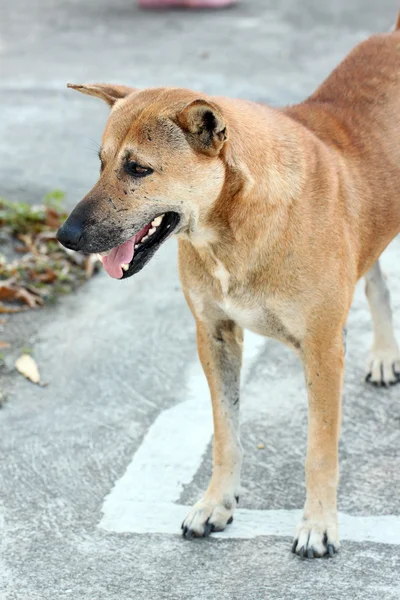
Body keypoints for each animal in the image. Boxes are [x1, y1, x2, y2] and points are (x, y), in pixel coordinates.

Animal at [57, 17, 400, 556]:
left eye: (139, 168)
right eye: (101, 161)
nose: (65, 237)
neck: (233, 222)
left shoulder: (323, 349)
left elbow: (320, 450)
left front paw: (319, 523)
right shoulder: (214, 336)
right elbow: (225, 433)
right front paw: (216, 503)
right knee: (377, 283)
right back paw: (385, 354)